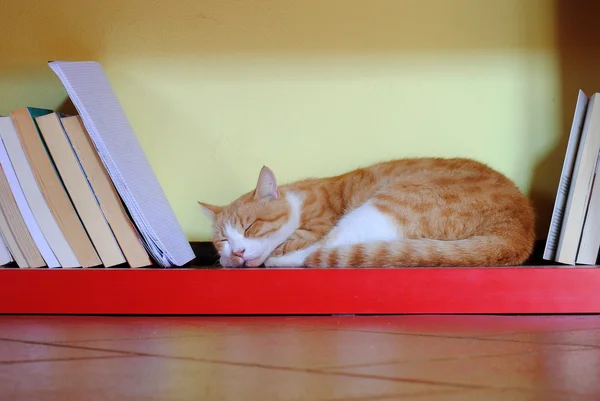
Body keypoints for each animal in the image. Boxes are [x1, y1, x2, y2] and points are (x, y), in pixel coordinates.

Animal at [199, 158, 536, 268]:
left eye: (250, 227)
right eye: (223, 240)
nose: (237, 252)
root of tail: (520, 228)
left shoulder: (315, 227)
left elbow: (291, 244)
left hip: (384, 204)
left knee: (322, 251)